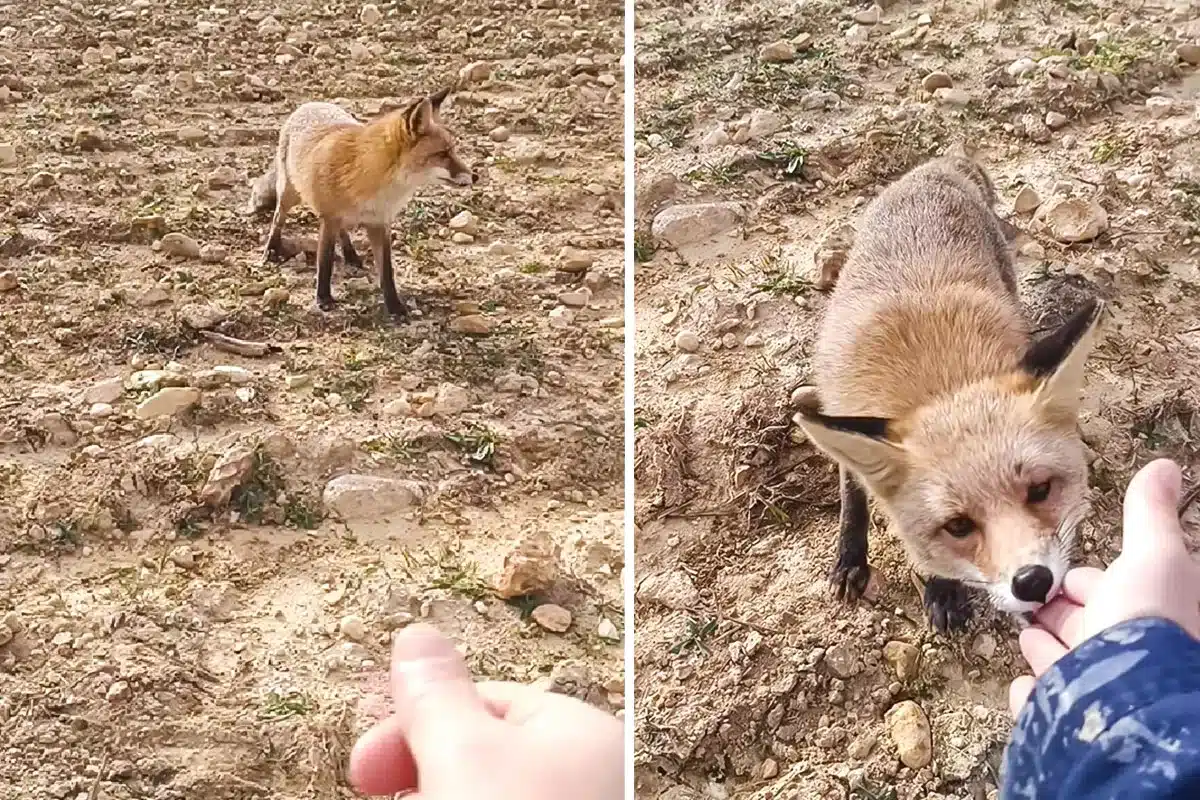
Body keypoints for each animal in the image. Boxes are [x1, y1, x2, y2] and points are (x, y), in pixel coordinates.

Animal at [259, 88, 475, 317]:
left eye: (453, 151)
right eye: (443, 154)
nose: (476, 176)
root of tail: (310, 104)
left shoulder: (379, 223)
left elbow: (387, 272)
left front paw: (394, 306)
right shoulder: (329, 218)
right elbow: (325, 262)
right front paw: (323, 299)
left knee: (343, 232)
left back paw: (351, 255)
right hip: (290, 193)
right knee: (278, 218)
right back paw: (271, 249)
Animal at [791, 149, 1105, 633]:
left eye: (1040, 490)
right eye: (958, 526)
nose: (1032, 581)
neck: (939, 381)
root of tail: (935, 168)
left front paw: (944, 590)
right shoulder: (843, 405)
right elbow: (853, 492)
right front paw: (854, 557)